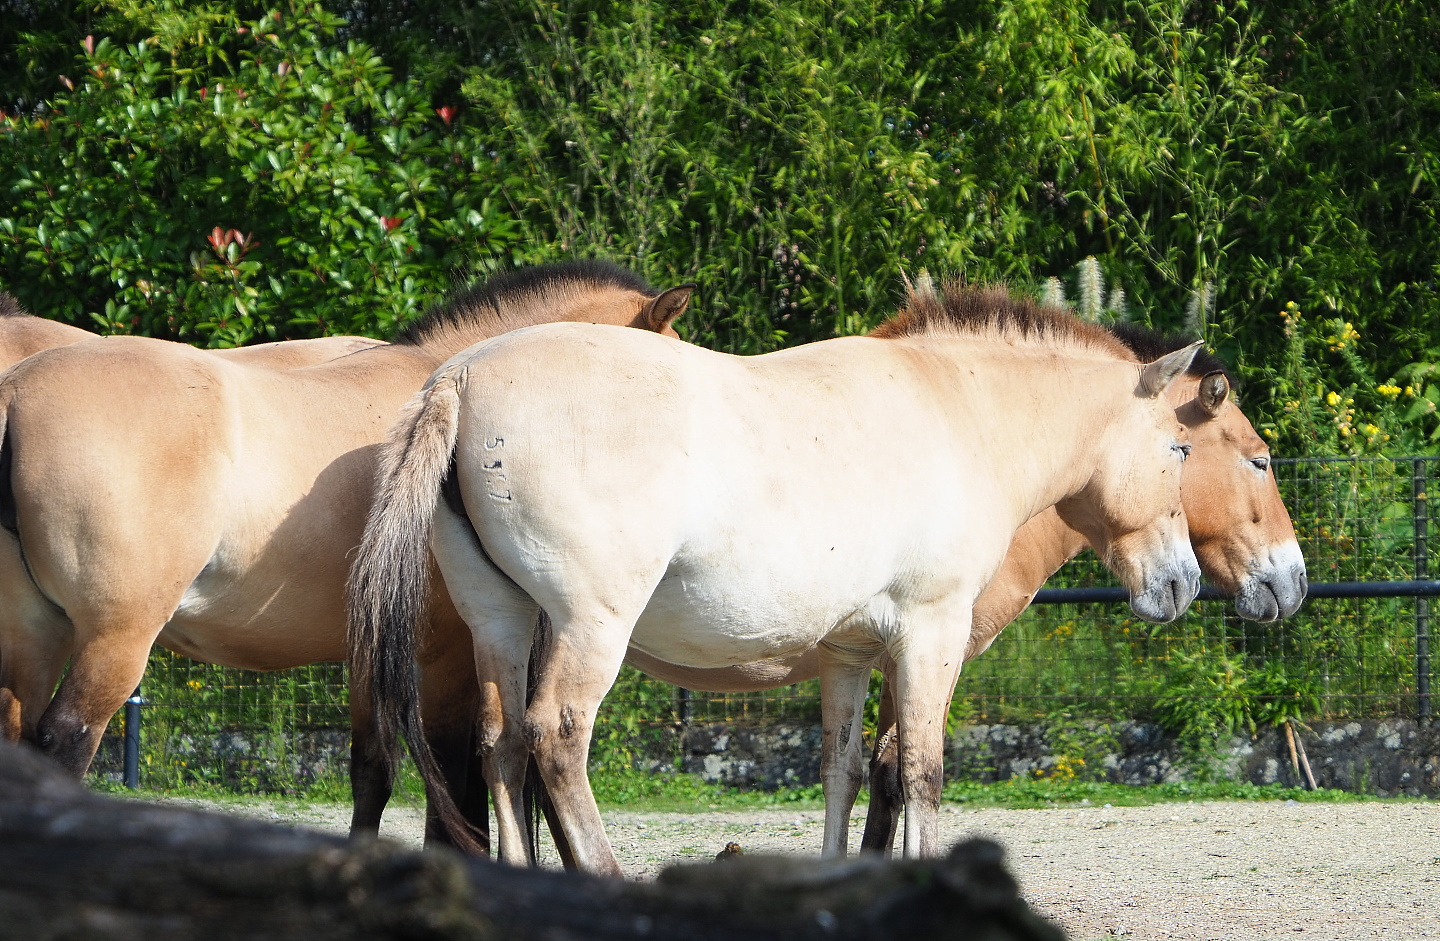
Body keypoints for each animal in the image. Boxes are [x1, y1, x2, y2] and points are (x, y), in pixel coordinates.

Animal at [0, 262, 692, 851]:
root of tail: (14, 395)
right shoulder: (447, 659)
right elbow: (455, 789)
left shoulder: (369, 653)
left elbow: (372, 773)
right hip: (113, 640)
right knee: (66, 739)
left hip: (35, 638)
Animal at [351, 282, 1203, 875]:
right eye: (1180, 448)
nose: (1183, 584)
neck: (961, 407)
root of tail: (457, 382)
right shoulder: (931, 633)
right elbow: (920, 771)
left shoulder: (850, 653)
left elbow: (843, 770)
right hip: (591, 625)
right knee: (555, 737)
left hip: (502, 619)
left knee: (499, 746)